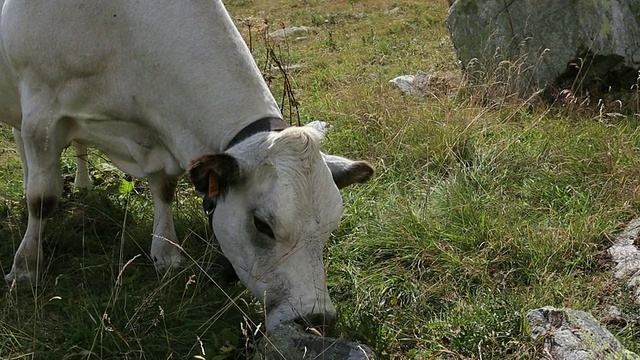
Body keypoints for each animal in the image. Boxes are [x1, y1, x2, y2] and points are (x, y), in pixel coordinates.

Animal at [0, 0, 372, 330]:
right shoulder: (42, 115)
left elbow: (164, 190)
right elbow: (42, 199)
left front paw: (167, 254)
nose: (315, 318)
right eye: (262, 225)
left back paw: (82, 183)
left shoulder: (160, 135)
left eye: (329, 229)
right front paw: (25, 267)